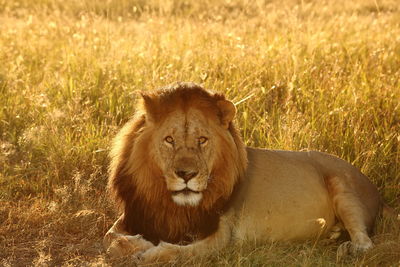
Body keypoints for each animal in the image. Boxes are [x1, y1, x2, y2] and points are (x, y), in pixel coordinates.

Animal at [103, 82, 382, 264]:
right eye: (169, 140)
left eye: (202, 140)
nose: (186, 174)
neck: (174, 205)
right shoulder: (133, 216)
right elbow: (111, 240)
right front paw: (137, 244)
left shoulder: (220, 236)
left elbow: (181, 252)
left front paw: (150, 252)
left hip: (342, 186)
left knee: (366, 242)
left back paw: (347, 248)